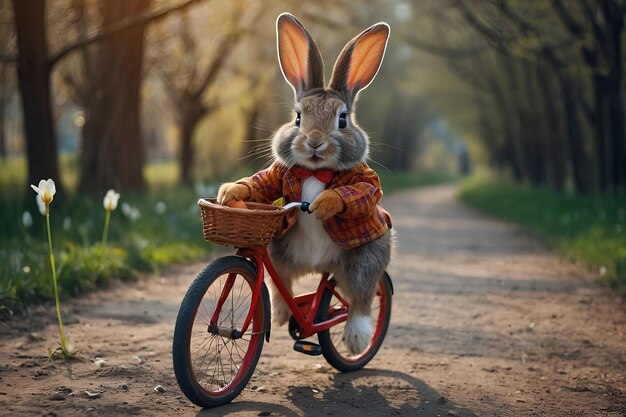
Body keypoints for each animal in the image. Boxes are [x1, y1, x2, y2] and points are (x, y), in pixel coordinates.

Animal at [218, 13, 390, 352]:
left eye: (342, 120)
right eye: (298, 118)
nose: (314, 142)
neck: (315, 172)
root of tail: (322, 265)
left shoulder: (364, 180)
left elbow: (364, 190)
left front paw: (327, 202)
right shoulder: (278, 174)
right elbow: (261, 182)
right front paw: (230, 191)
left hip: (365, 259)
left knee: (360, 298)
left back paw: (356, 339)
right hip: (279, 250)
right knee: (280, 283)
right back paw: (283, 314)